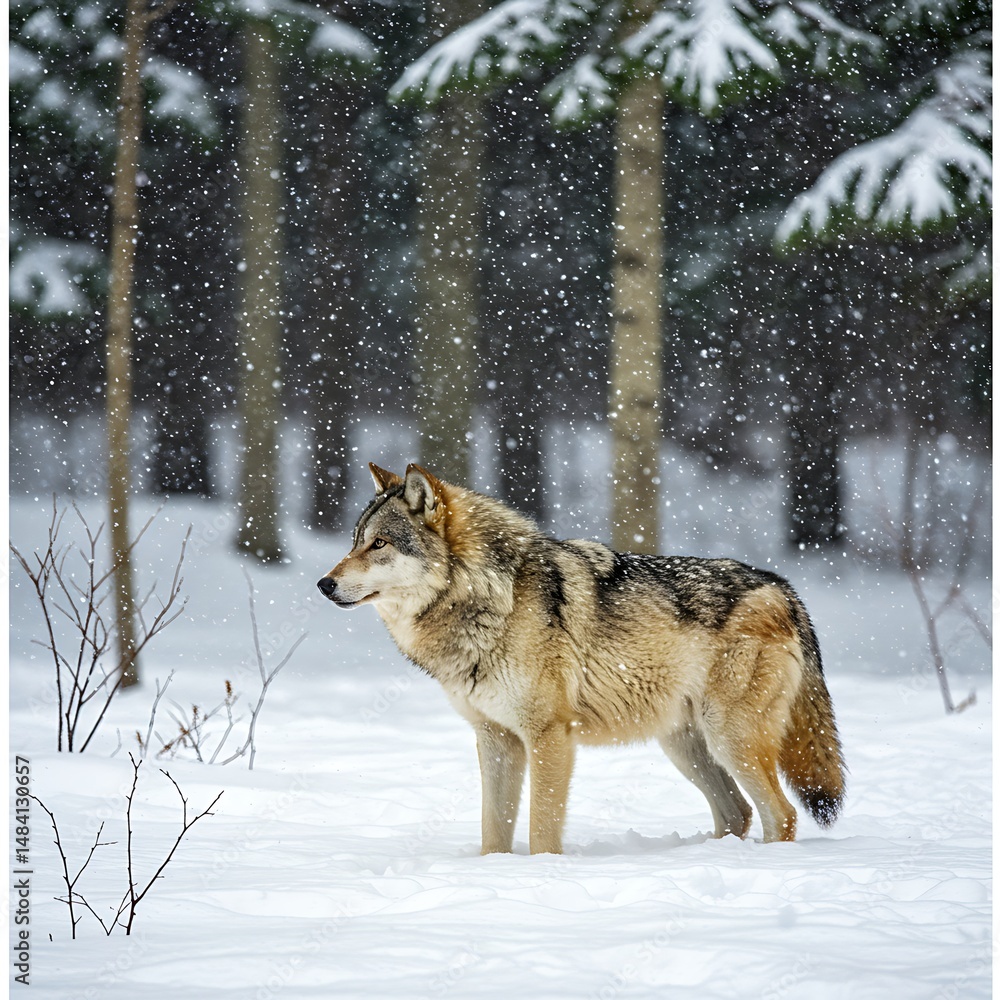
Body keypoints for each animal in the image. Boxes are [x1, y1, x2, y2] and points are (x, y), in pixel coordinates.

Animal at [318, 463, 846, 856]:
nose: (323, 584)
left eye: (379, 544)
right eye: (354, 540)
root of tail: (783, 588)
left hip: (729, 738)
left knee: (783, 814)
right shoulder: (496, 738)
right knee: (739, 812)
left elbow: (541, 831)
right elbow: (494, 832)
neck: (490, 597)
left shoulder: (550, 736)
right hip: (687, 746)